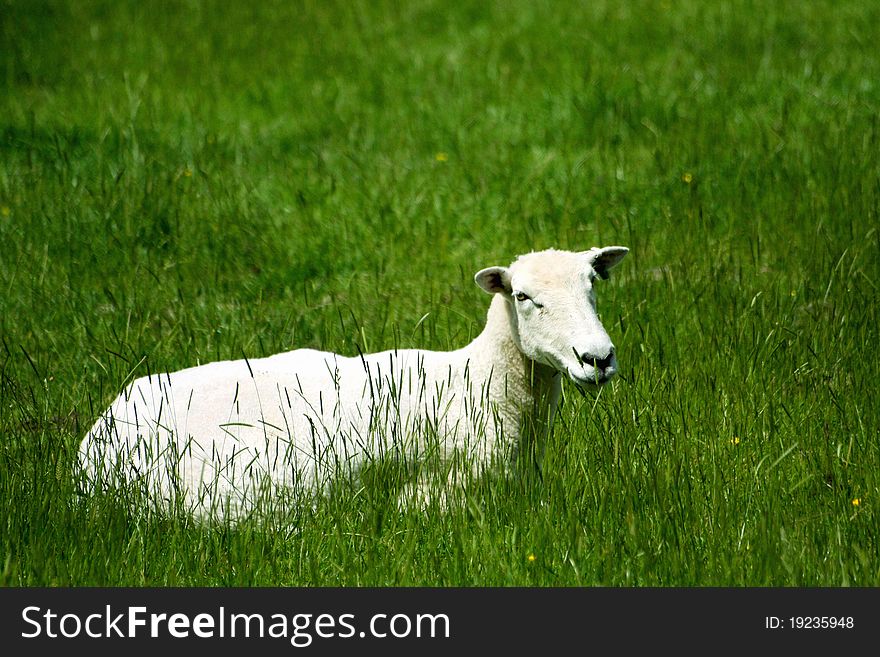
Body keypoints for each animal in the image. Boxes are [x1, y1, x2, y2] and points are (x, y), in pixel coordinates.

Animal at [75, 243, 624, 520]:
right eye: (524, 297)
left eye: (592, 285)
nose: (597, 358)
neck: (481, 384)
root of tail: (100, 426)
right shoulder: (436, 496)